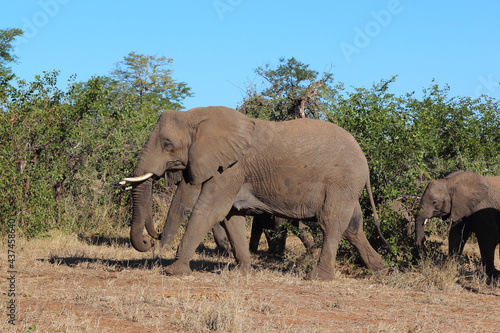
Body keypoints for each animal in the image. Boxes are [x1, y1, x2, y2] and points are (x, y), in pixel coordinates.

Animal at [121, 105, 386, 278]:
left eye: (167, 144)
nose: (149, 240)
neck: (197, 116)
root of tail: (364, 158)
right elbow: (231, 217)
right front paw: (243, 272)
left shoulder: (232, 168)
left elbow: (209, 211)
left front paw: (173, 271)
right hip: (347, 184)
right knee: (353, 226)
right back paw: (380, 269)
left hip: (341, 181)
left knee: (331, 222)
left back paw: (318, 277)